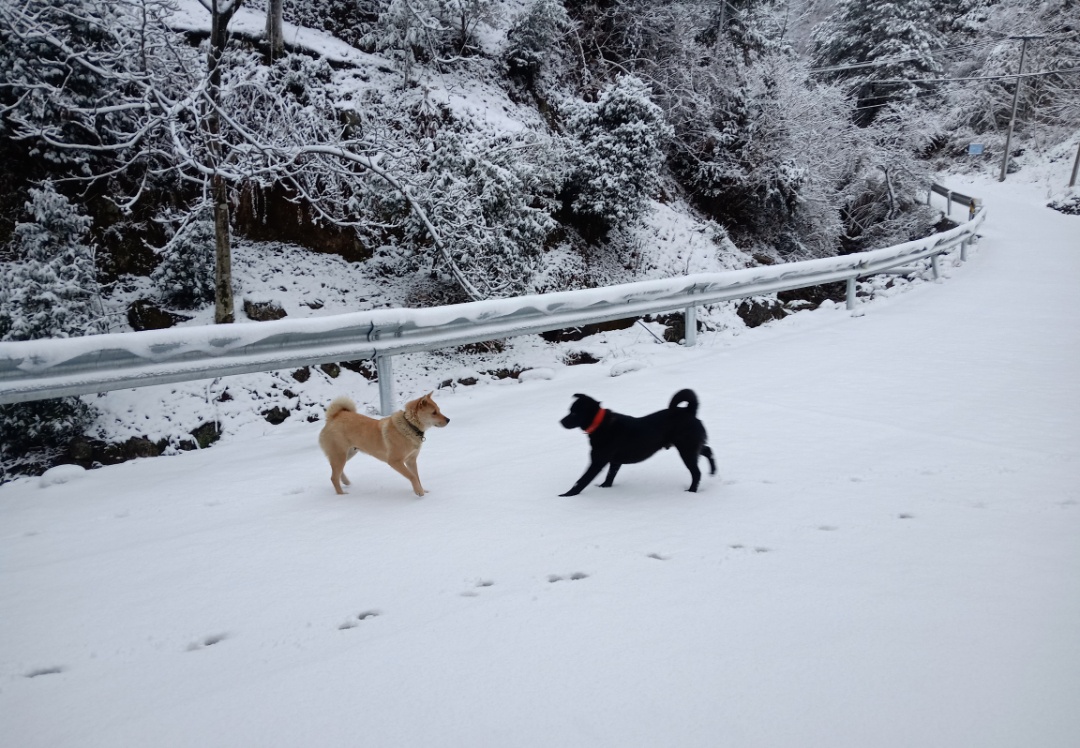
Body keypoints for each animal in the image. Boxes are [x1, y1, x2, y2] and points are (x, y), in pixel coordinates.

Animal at [315, 390, 447, 496]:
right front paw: (419, 492)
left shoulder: (411, 461)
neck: (410, 426)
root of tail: (333, 417)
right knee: (333, 477)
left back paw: (345, 482)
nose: (448, 420)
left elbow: (417, 477)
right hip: (340, 455)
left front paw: (421, 490)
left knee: (337, 472)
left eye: (439, 410)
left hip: (348, 453)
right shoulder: (395, 461)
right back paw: (341, 495)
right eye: (434, 412)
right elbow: (412, 476)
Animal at [557, 384, 717, 496]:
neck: (600, 423)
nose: (561, 422)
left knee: (697, 473)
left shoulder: (597, 462)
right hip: (691, 446)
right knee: (708, 450)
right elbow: (610, 476)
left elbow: (581, 481)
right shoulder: (614, 462)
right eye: (569, 410)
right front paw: (605, 487)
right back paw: (713, 471)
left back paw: (692, 491)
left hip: (686, 450)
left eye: (574, 412)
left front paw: (566, 495)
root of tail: (690, 412)